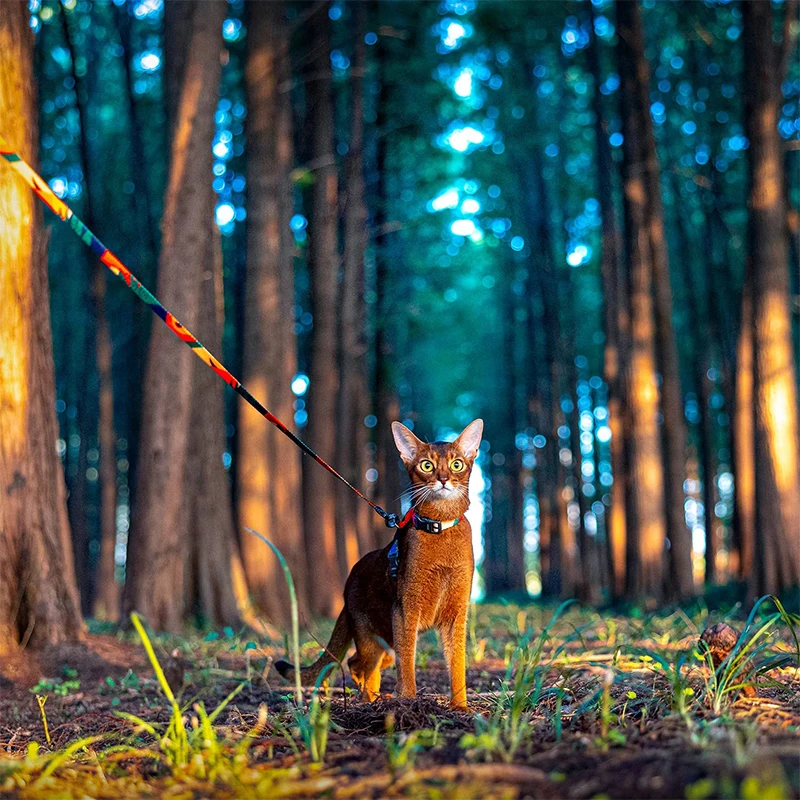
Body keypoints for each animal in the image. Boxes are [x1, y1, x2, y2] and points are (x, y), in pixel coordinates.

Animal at [276, 416, 482, 708]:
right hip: (373, 635)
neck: (440, 527)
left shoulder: (457, 612)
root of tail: (348, 584)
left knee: (358, 663)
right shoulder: (406, 609)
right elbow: (407, 664)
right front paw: (408, 702)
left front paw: (460, 706)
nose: (443, 480)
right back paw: (369, 700)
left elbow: (457, 664)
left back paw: (373, 698)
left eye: (457, 464)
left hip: (386, 642)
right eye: (426, 465)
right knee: (359, 662)